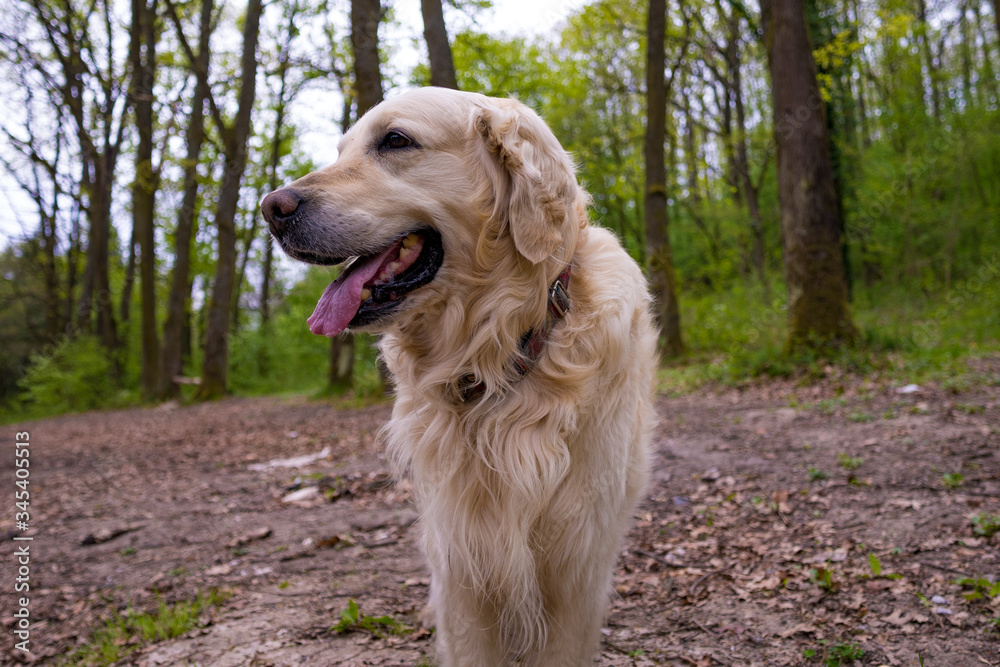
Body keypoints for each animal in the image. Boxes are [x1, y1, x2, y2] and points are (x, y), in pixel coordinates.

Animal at [262, 88, 660, 667]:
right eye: (340, 151)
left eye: (395, 140)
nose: (271, 208)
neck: (498, 352)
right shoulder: (463, 562)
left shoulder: (576, 563)